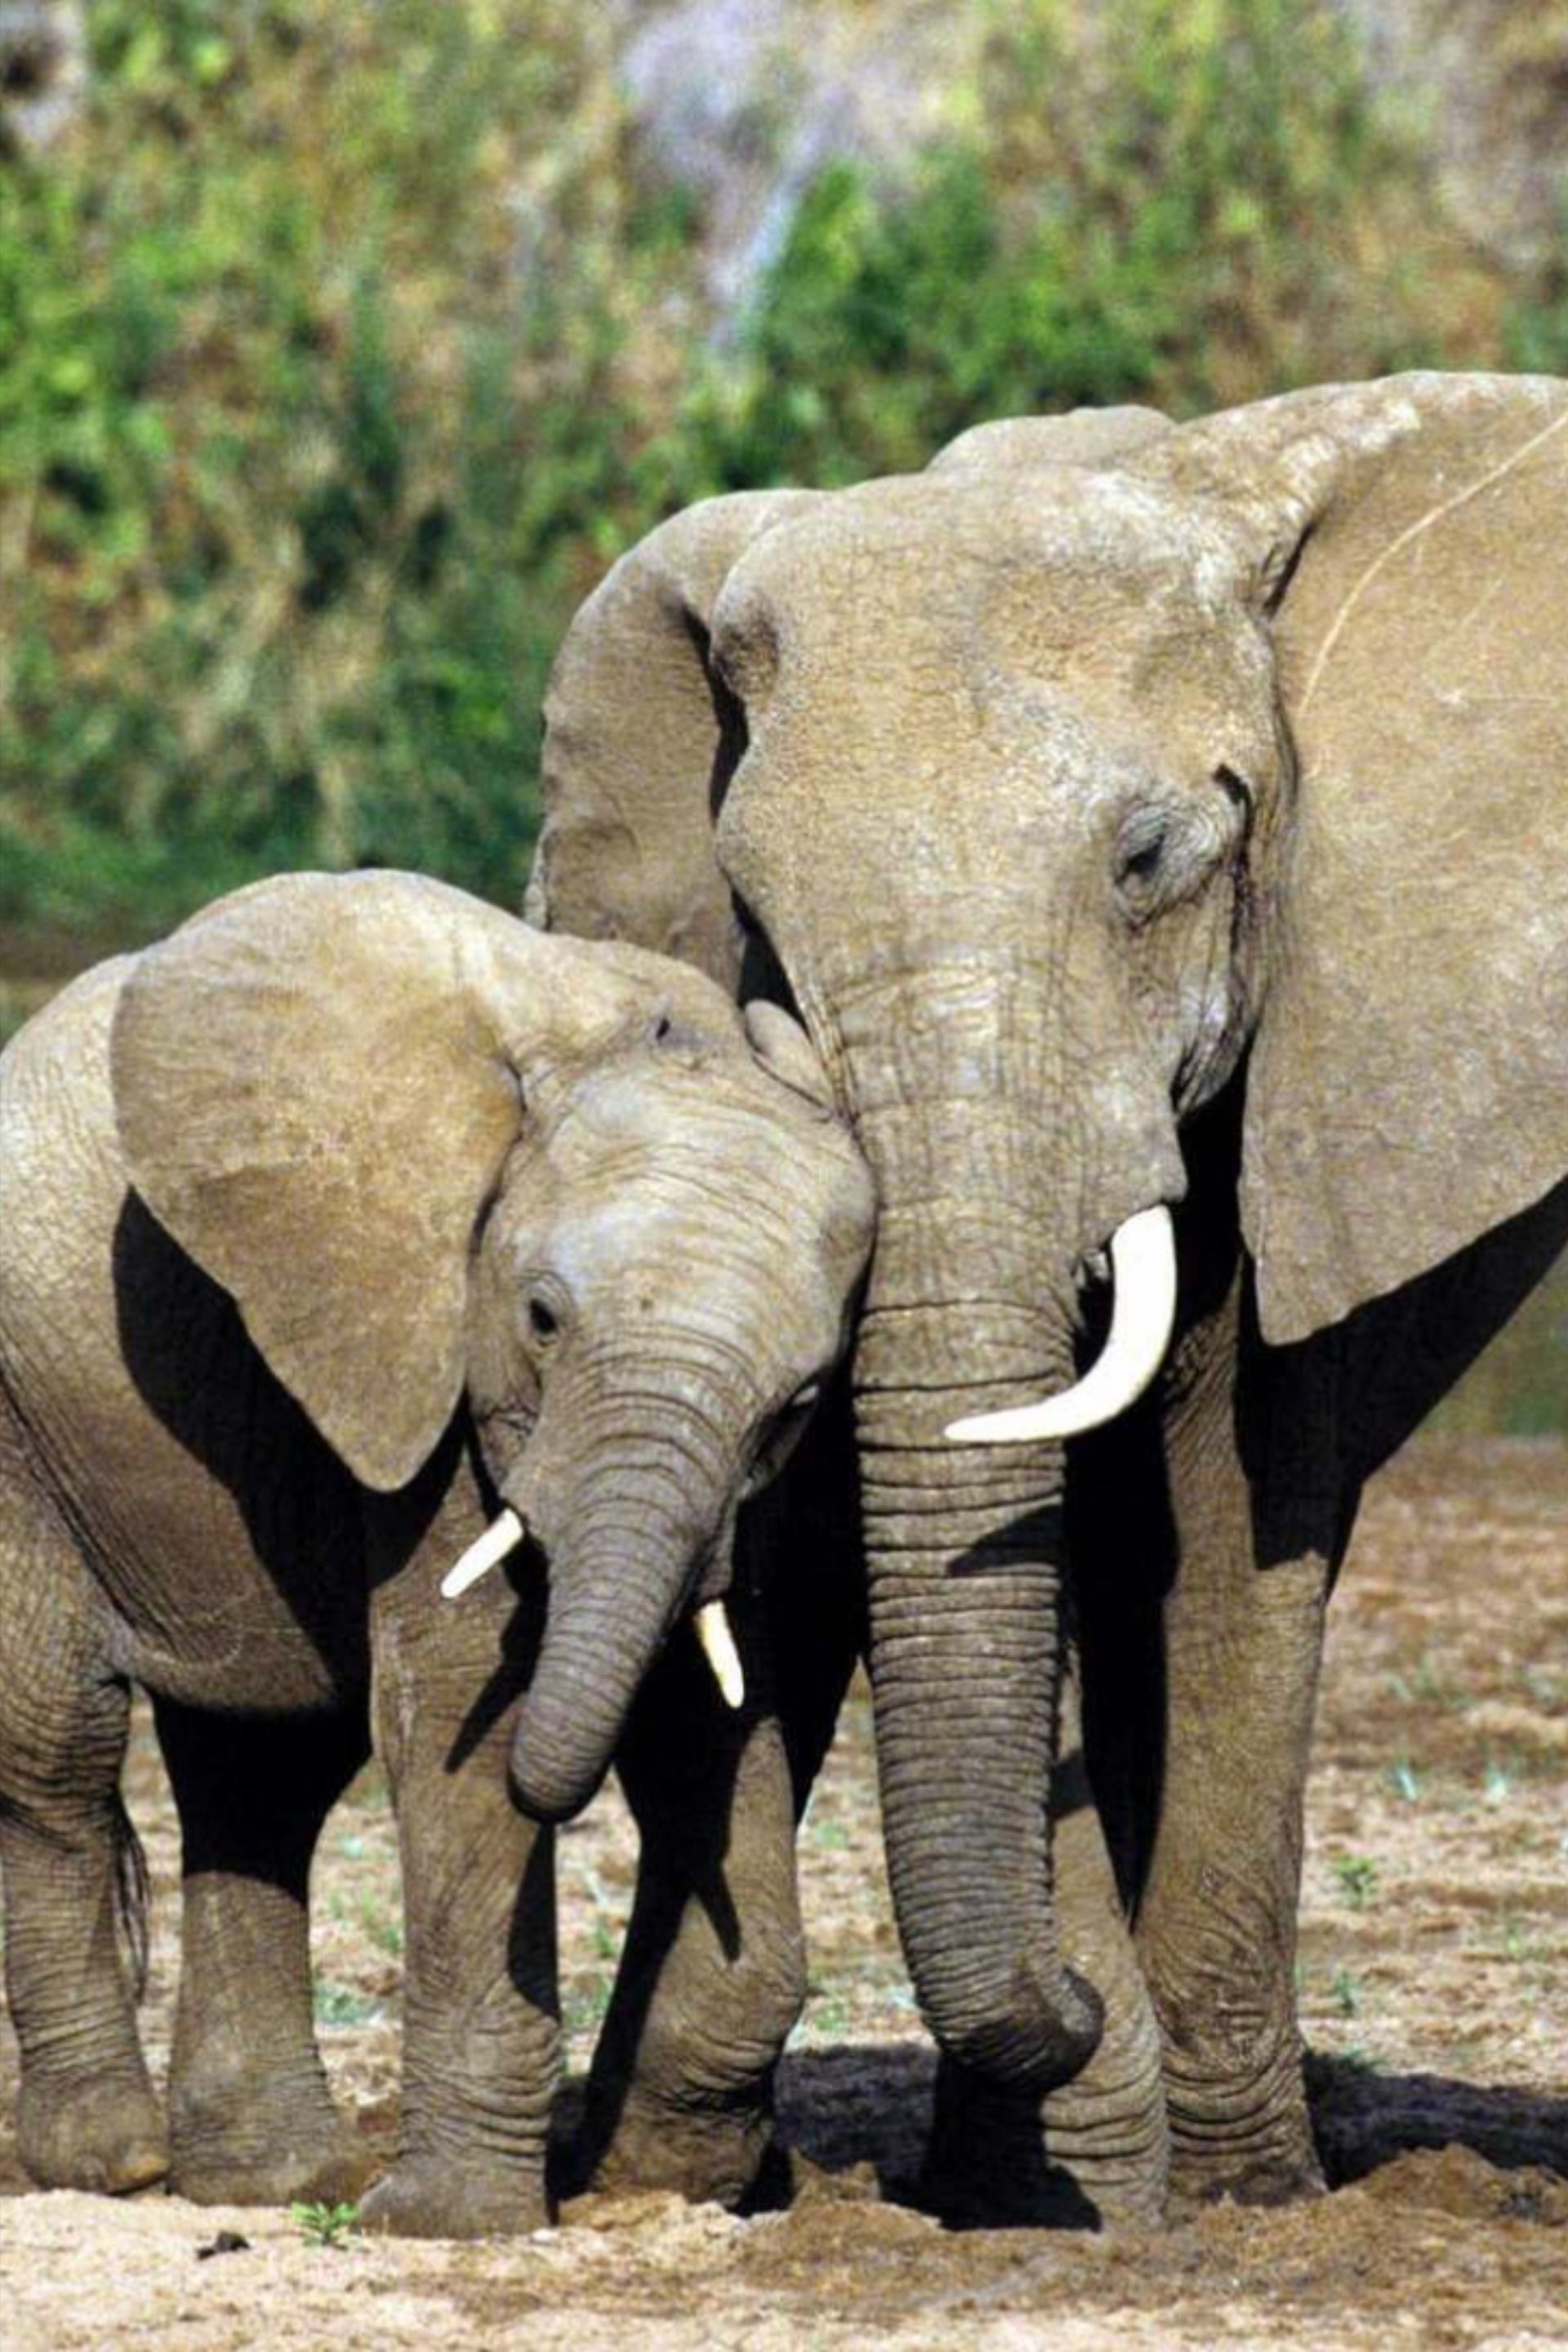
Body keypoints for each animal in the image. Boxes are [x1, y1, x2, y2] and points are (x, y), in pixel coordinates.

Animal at [0, 868, 873, 2236]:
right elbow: (461, 1712)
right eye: (541, 1319)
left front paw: (657, 2184)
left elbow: (716, 1714)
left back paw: (267, 2182)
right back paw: (118, 2166)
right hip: (28, 1426)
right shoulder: (433, 1355)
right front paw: (450, 2224)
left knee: (263, 1777)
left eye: (801, 1402)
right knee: (58, 1757)